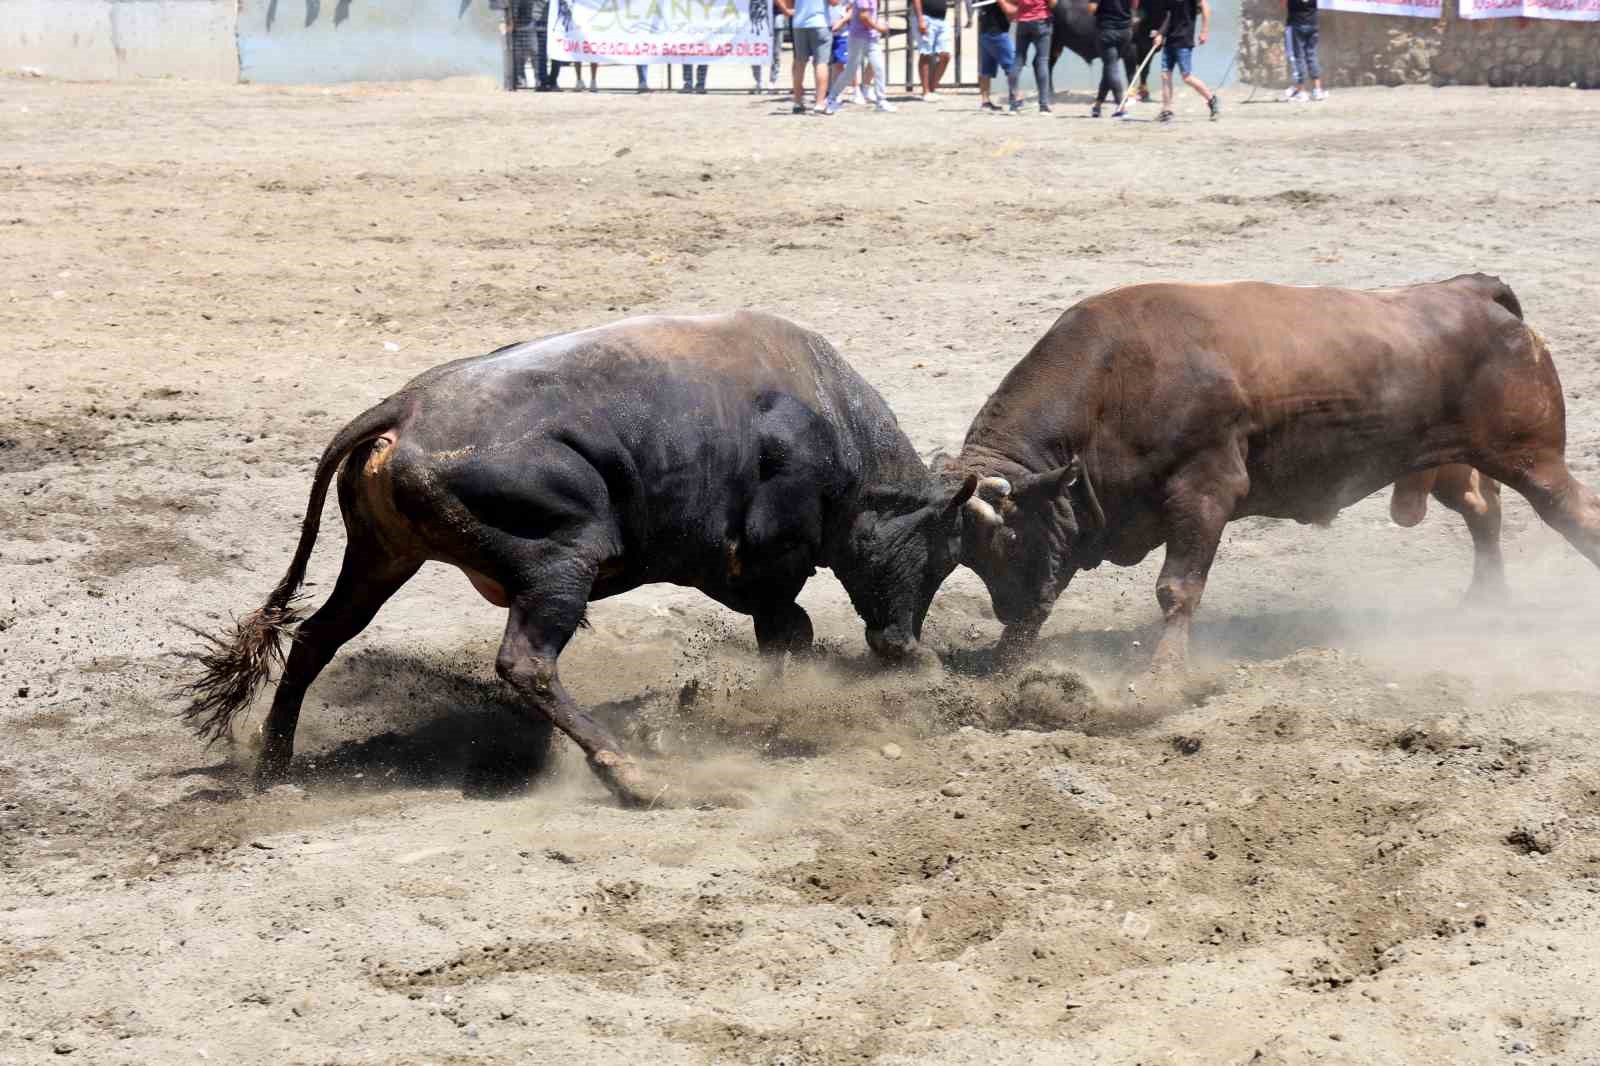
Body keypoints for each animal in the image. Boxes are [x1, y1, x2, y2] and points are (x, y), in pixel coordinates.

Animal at [176, 313, 972, 806]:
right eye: (939, 553)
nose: (905, 647)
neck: (831, 423)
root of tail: (405, 406)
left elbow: (787, 632)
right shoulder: (764, 562)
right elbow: (790, 630)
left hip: (380, 558)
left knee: (316, 638)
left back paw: (274, 767)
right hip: (559, 565)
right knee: (527, 664)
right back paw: (634, 776)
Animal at [947, 270, 1600, 675]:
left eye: (1011, 536)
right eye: (969, 558)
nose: (1009, 610)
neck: (1115, 381)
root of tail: (1475, 291)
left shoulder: (1205, 492)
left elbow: (1177, 589)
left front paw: (1162, 676)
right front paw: (1005, 661)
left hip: (1533, 458)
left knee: (1574, 514)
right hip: (1449, 463)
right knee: (1483, 511)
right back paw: (1484, 602)